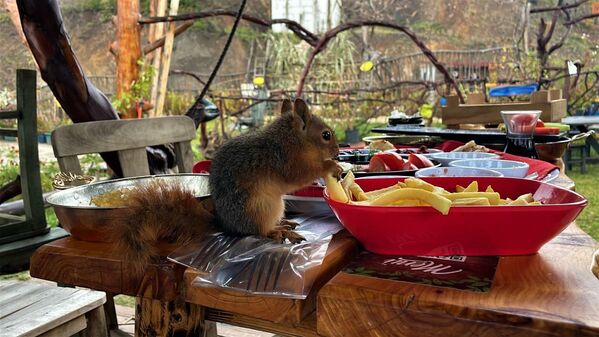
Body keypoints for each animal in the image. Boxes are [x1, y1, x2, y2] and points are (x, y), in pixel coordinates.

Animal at [110, 97, 340, 276]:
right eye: (326, 135)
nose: (338, 152)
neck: (291, 139)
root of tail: (226, 226)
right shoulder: (285, 161)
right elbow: (300, 176)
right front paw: (330, 166)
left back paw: (285, 223)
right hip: (263, 206)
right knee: (258, 231)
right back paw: (279, 231)